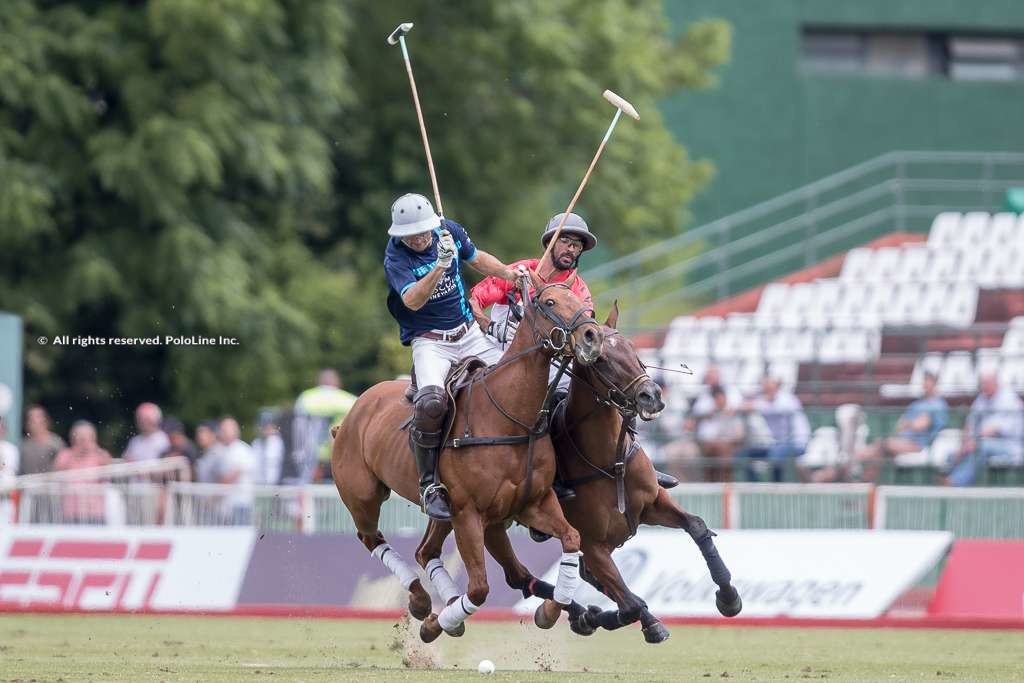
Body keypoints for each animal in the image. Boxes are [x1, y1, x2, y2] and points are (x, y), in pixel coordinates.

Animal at [331, 270, 606, 643]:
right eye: (549, 302)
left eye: (581, 302)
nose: (593, 337)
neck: (510, 416)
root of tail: (350, 414)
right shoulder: (468, 513)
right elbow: (478, 588)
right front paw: (436, 625)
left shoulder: (532, 503)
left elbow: (571, 538)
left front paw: (551, 611)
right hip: (363, 496)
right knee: (372, 538)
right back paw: (421, 600)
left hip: (445, 514)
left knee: (425, 551)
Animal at [411, 307, 741, 643]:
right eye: (602, 360)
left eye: (633, 350)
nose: (652, 396)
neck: (608, 460)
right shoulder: (593, 543)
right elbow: (628, 602)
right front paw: (595, 617)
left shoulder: (652, 503)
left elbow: (697, 526)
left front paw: (728, 597)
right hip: (479, 516)